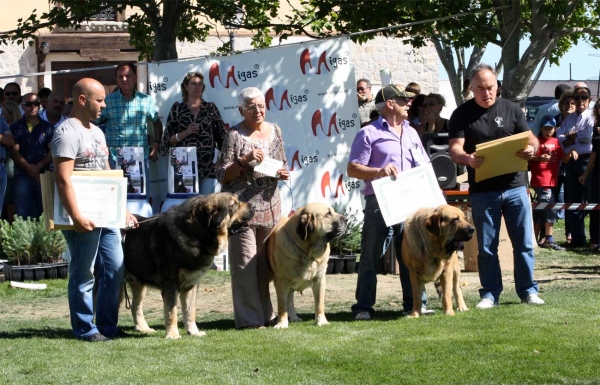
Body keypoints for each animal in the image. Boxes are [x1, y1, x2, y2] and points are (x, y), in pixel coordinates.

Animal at [122, 191, 253, 336]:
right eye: (234, 204)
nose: (254, 206)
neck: (195, 233)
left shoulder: (191, 283)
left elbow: (190, 310)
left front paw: (194, 332)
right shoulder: (171, 283)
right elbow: (171, 311)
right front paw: (173, 334)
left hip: (138, 284)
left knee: (135, 305)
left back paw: (144, 328)